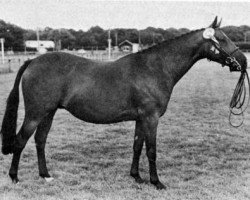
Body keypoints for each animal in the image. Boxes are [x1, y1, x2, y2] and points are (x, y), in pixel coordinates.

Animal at [0, 17, 246, 189]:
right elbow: (151, 150)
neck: (155, 68)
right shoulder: (151, 118)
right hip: (35, 114)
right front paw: (157, 182)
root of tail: (33, 61)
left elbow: (137, 146)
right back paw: (14, 178)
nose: (243, 61)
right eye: (222, 39)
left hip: (48, 113)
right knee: (21, 141)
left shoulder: (140, 119)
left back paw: (45, 176)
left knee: (40, 141)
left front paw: (136, 177)